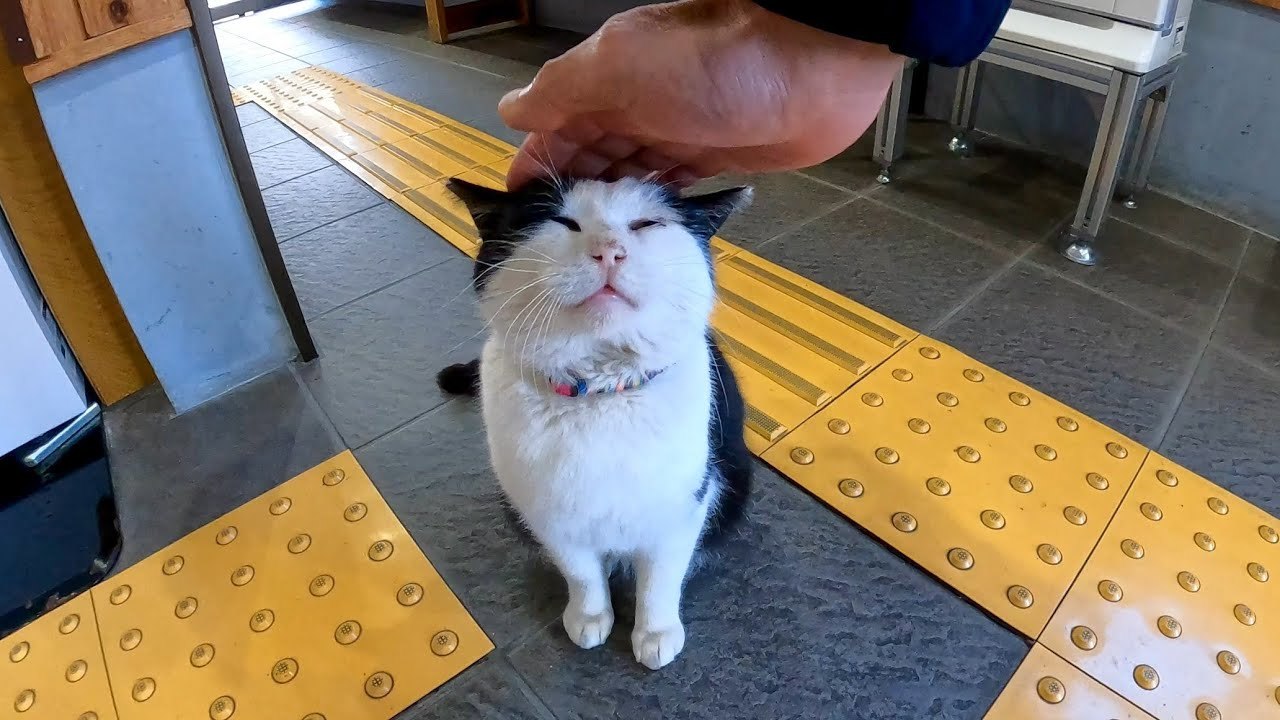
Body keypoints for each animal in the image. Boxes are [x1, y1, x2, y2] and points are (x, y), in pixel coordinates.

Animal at [440, 174, 752, 666]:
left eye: (645, 224)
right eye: (561, 221)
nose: (609, 251)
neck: (598, 395)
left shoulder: (683, 506)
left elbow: (660, 578)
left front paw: (655, 632)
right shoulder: (547, 514)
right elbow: (581, 573)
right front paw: (589, 617)